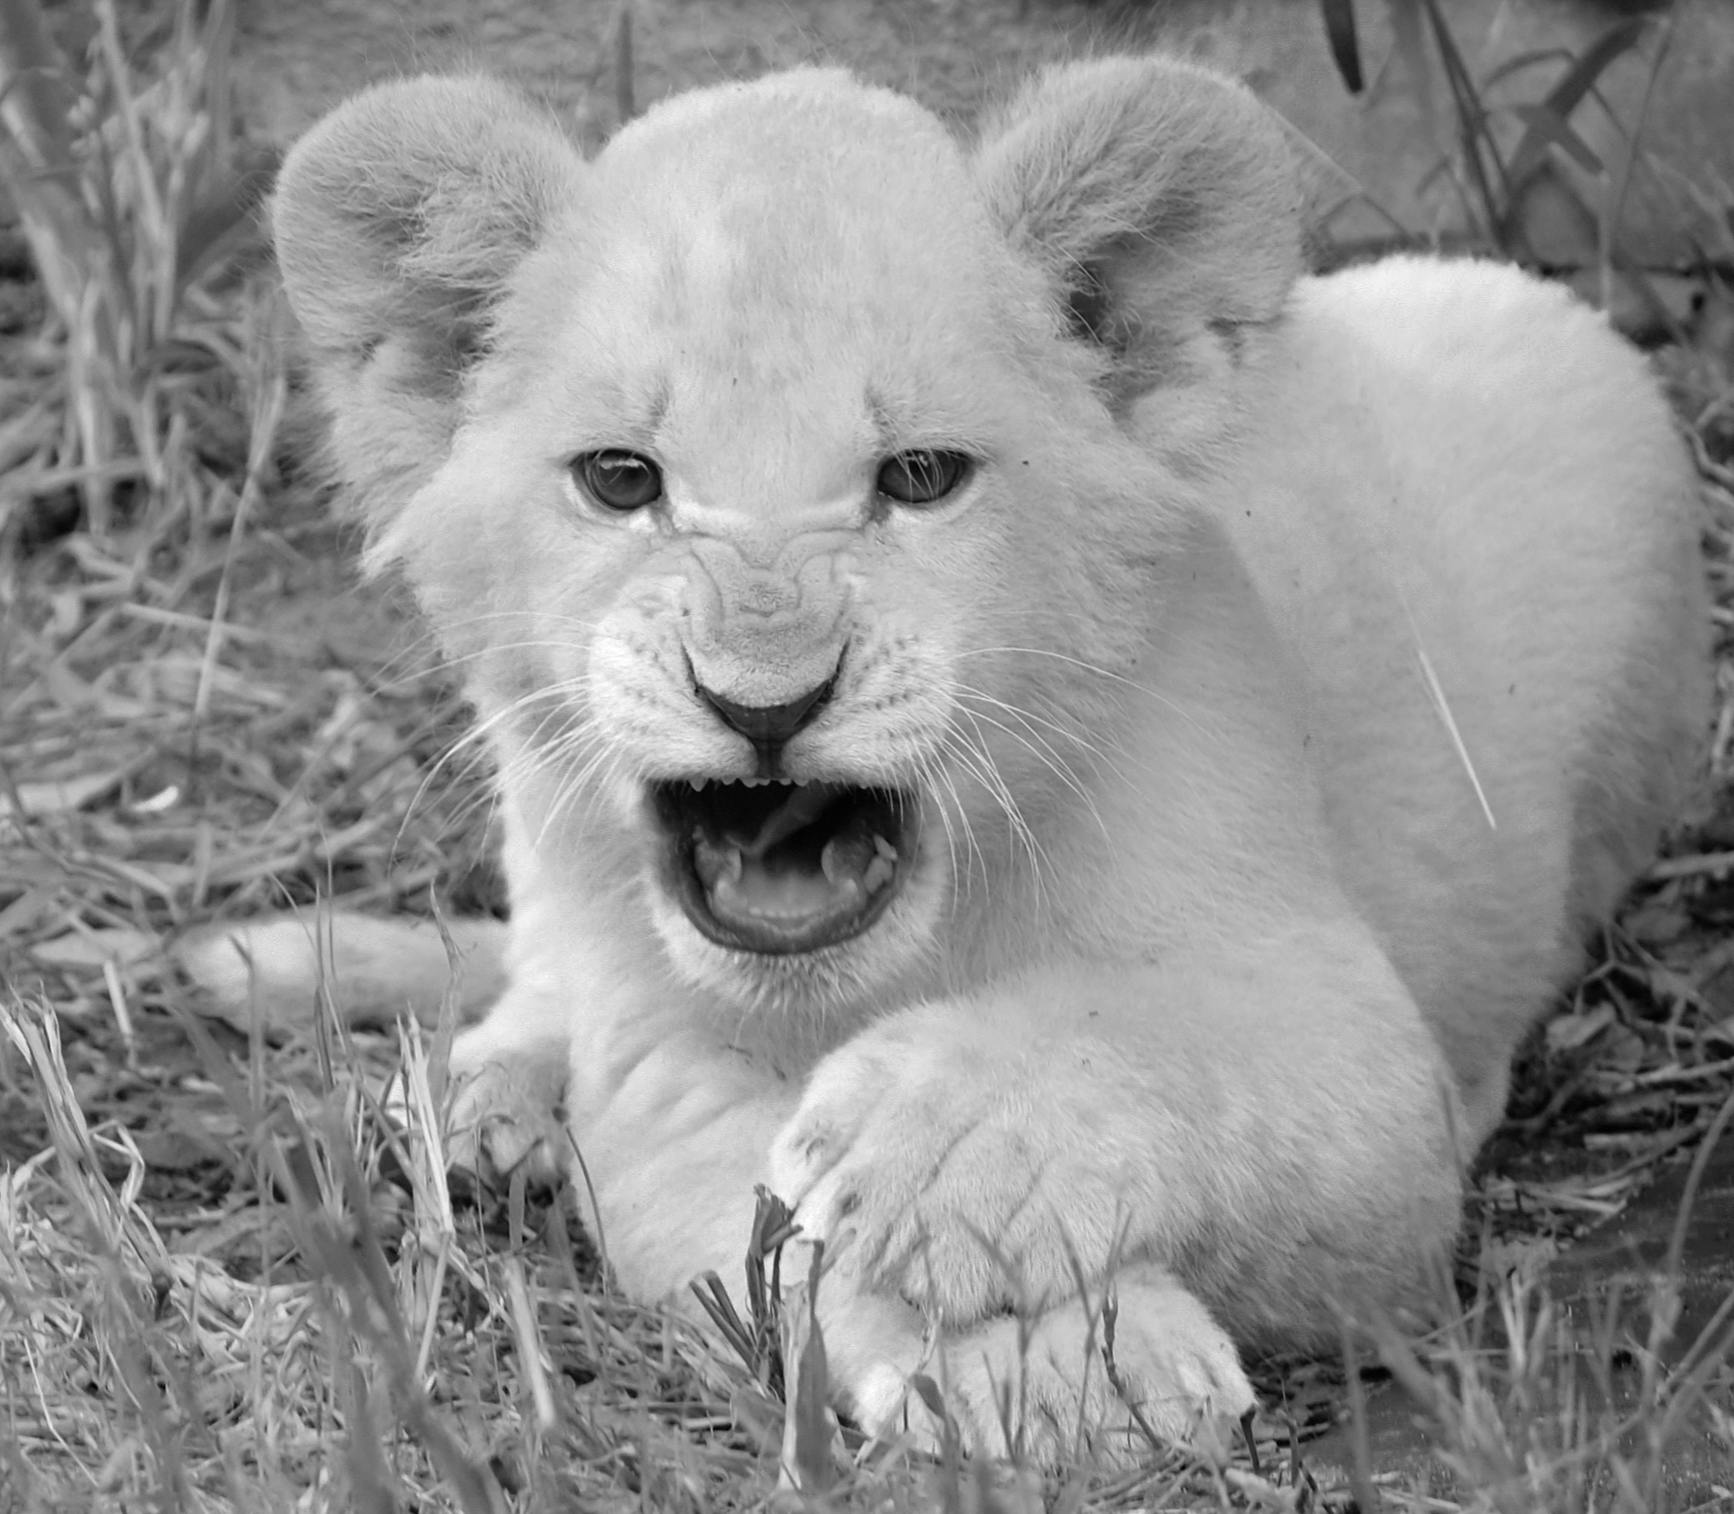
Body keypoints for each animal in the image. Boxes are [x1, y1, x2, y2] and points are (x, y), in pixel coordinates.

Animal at [264, 54, 1710, 1460]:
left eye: (918, 476)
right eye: (621, 478)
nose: (765, 701)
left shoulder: (1356, 1050)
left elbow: (1155, 1038)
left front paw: (944, 1164)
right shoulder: (660, 1069)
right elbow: (769, 1229)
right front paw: (1051, 1361)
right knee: (535, 968)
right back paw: (483, 1110)